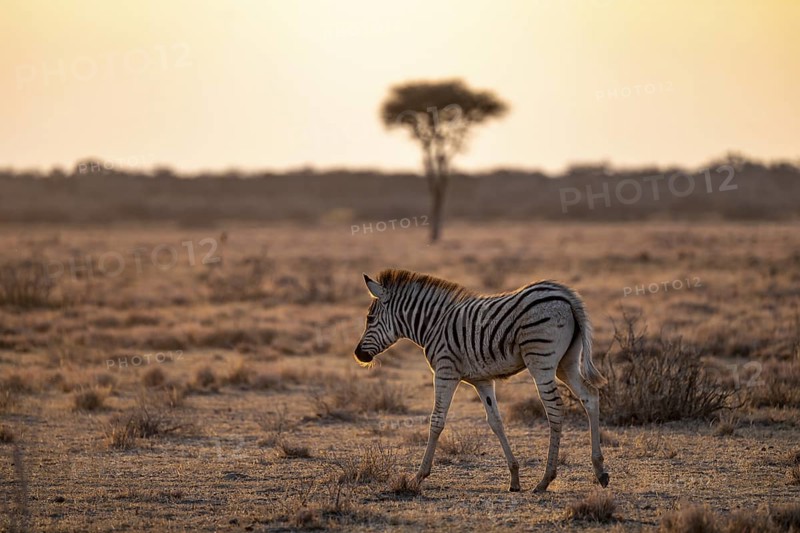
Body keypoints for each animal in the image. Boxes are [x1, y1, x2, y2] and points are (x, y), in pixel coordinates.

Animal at [354, 269, 609, 492]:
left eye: (369, 318)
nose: (358, 355)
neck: (433, 325)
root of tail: (565, 294)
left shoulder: (445, 371)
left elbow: (437, 421)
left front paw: (419, 476)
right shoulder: (482, 380)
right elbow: (495, 422)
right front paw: (514, 477)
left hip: (540, 361)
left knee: (555, 410)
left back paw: (545, 480)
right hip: (567, 362)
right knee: (590, 396)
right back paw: (600, 471)